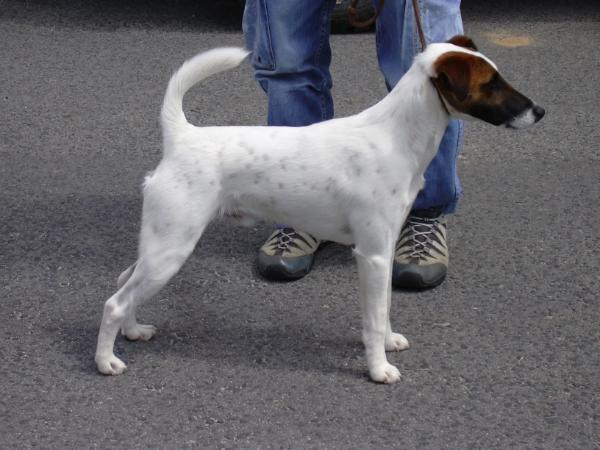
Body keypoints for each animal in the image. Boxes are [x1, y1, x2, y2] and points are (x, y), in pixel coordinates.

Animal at [95, 36, 544, 384]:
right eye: (491, 84)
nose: (540, 111)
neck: (396, 136)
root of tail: (182, 137)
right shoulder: (373, 255)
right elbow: (374, 317)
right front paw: (378, 368)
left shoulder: (384, 254)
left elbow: (385, 306)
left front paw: (389, 342)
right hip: (172, 248)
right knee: (115, 301)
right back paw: (106, 361)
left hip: (161, 244)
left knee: (124, 281)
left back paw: (133, 331)